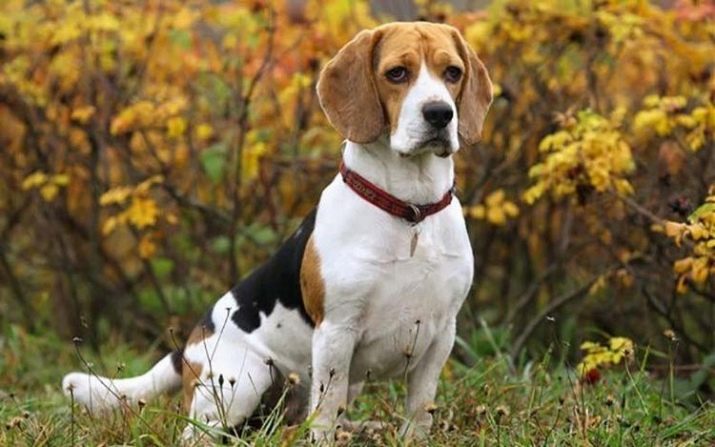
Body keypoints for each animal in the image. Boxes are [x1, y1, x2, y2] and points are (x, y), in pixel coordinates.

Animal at [62, 21, 492, 442]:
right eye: (397, 73)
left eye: (453, 73)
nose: (440, 114)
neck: (410, 210)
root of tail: (188, 348)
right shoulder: (336, 332)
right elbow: (324, 412)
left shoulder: (442, 333)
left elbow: (419, 409)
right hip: (244, 379)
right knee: (202, 431)